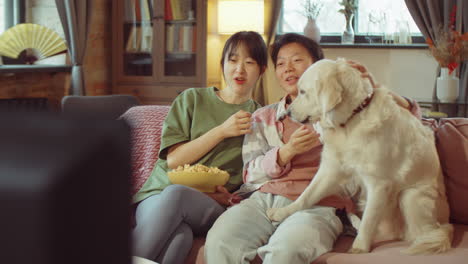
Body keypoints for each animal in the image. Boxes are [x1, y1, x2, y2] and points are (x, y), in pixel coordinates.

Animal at [266, 58, 454, 255]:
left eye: (303, 92)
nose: (286, 113)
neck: (352, 119)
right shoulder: (330, 170)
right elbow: (306, 195)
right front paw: (284, 211)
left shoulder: (378, 184)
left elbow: (368, 222)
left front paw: (358, 248)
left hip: (410, 197)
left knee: (414, 234)